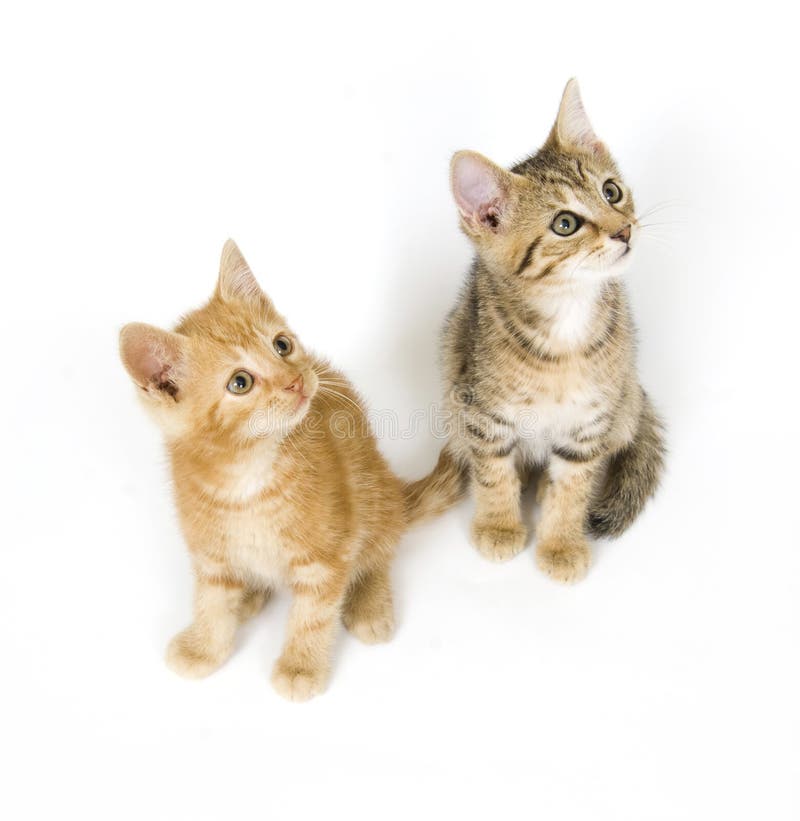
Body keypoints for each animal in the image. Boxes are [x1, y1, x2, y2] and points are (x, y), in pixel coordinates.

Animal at [115, 240, 460, 700]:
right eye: (240, 382)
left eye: (281, 345)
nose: (295, 381)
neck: (247, 475)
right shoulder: (211, 554)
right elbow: (210, 602)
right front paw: (204, 647)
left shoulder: (327, 553)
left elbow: (312, 615)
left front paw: (301, 667)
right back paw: (249, 596)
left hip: (369, 496)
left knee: (379, 548)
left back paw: (369, 603)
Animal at [438, 75, 664, 576]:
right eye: (565, 224)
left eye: (611, 192)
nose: (624, 230)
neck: (567, 315)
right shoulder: (483, 414)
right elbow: (493, 474)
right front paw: (500, 526)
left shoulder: (589, 422)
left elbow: (574, 486)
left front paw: (560, 544)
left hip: (623, 403)